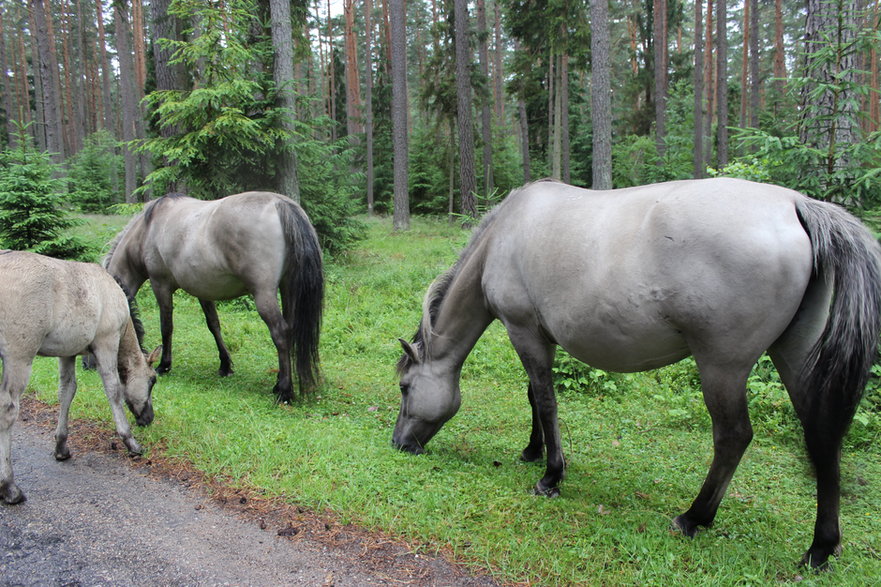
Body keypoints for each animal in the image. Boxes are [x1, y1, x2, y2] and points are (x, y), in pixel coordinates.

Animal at [0, 253, 160, 506]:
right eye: (153, 381)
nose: (148, 418)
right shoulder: (107, 342)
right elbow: (114, 390)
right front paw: (130, 441)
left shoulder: (67, 352)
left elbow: (67, 391)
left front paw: (61, 446)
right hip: (19, 356)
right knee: (7, 410)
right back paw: (9, 487)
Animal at [103, 193, 324, 404]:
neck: (147, 231)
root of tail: (280, 204)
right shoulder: (203, 290)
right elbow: (214, 325)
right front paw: (225, 365)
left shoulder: (161, 286)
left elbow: (166, 327)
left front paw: (164, 365)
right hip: (287, 288)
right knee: (290, 330)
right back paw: (279, 382)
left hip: (264, 295)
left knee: (280, 333)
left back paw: (285, 391)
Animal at [396, 178, 880, 564]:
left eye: (403, 387)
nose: (399, 444)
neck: (505, 235)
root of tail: (795, 204)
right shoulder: (538, 338)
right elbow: (535, 396)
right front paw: (533, 451)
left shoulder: (525, 332)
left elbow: (546, 400)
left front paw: (551, 475)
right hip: (793, 355)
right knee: (822, 439)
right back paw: (820, 548)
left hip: (722, 366)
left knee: (733, 437)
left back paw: (694, 517)